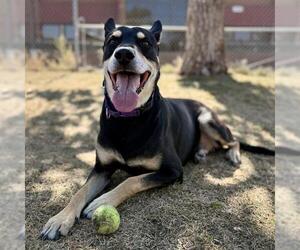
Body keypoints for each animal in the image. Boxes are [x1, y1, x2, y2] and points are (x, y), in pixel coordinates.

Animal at [40, 18, 274, 240]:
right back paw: (200, 152)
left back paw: (232, 154)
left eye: (145, 43)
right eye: (112, 41)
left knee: (234, 140)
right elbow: (80, 192)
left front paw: (102, 201)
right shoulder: (101, 168)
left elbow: (132, 180)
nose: (123, 54)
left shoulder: (172, 170)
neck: (128, 119)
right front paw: (60, 219)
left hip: (207, 118)